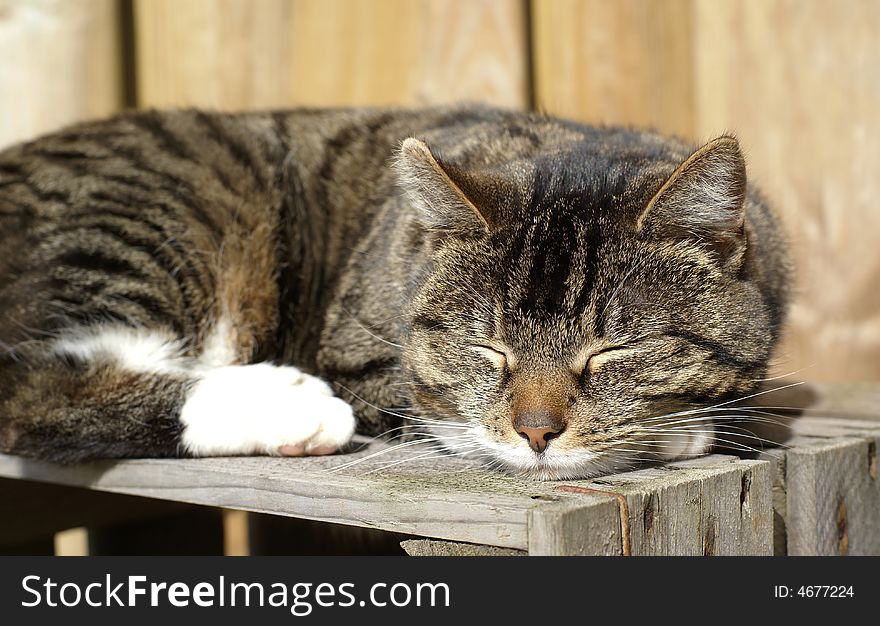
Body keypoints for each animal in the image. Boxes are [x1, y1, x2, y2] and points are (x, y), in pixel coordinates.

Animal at [0, 106, 792, 478]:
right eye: (486, 348)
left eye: (612, 351)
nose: (537, 431)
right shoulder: (362, 359)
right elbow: (441, 413)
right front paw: (683, 429)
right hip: (177, 203)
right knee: (41, 392)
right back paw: (285, 402)